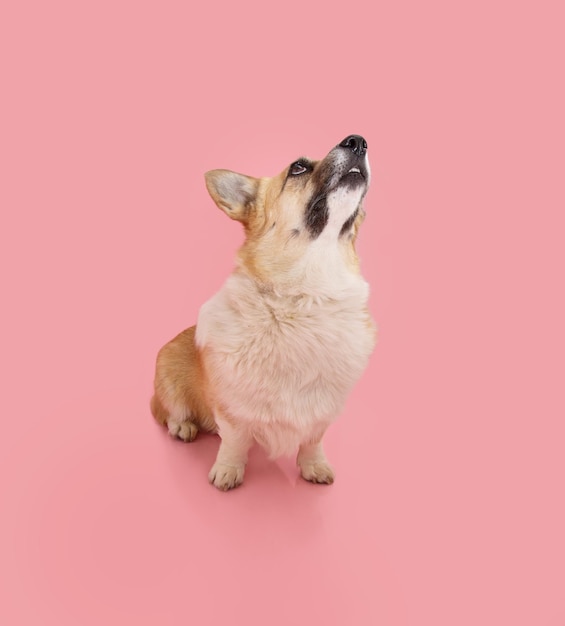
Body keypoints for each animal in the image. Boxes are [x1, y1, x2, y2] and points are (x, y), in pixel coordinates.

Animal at [152, 135, 376, 488]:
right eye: (298, 168)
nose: (358, 141)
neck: (308, 294)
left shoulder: (323, 411)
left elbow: (313, 440)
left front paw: (314, 466)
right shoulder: (231, 408)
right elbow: (234, 440)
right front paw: (228, 471)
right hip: (167, 372)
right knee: (169, 412)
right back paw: (182, 426)